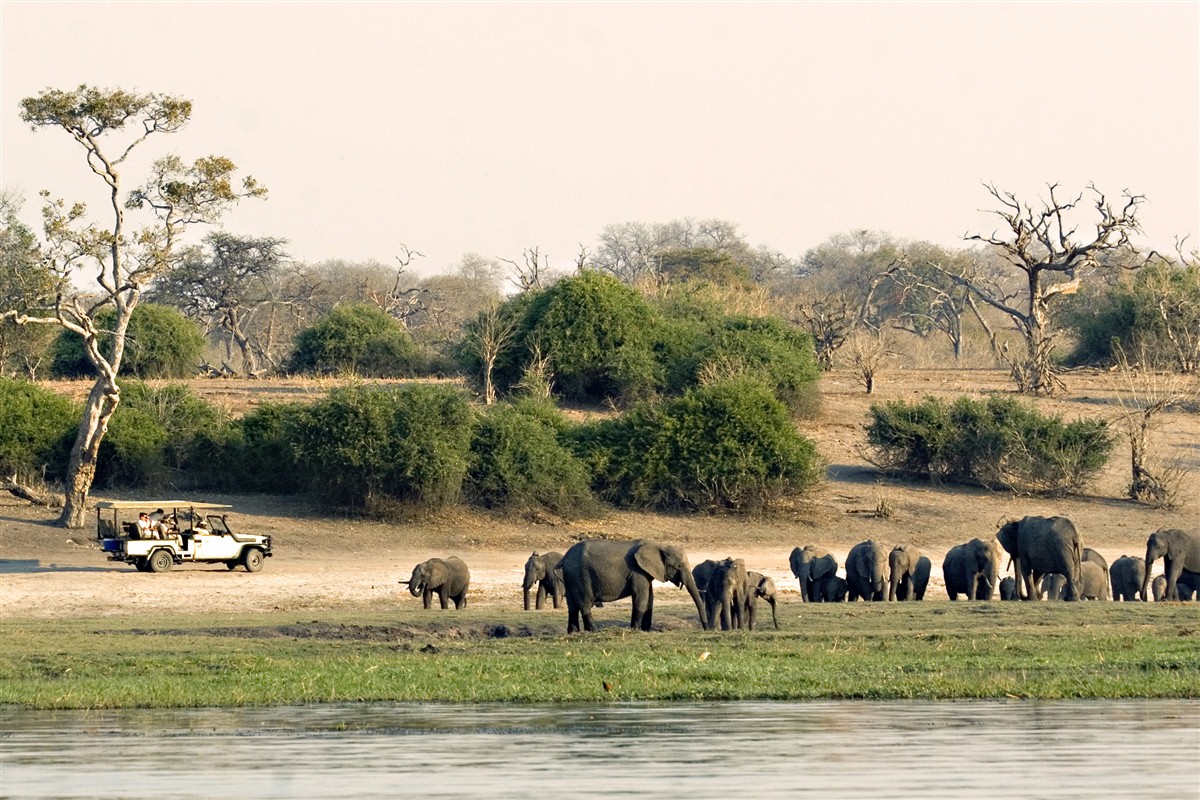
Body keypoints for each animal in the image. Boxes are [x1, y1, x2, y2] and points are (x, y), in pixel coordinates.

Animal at [559, 542, 705, 633]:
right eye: (679, 566)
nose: (706, 628)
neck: (659, 545)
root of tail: (564, 558)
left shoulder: (645, 572)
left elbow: (650, 598)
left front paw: (645, 630)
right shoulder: (637, 571)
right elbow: (641, 597)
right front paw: (636, 630)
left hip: (570, 576)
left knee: (572, 606)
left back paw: (573, 632)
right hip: (579, 574)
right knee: (584, 602)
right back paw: (594, 631)